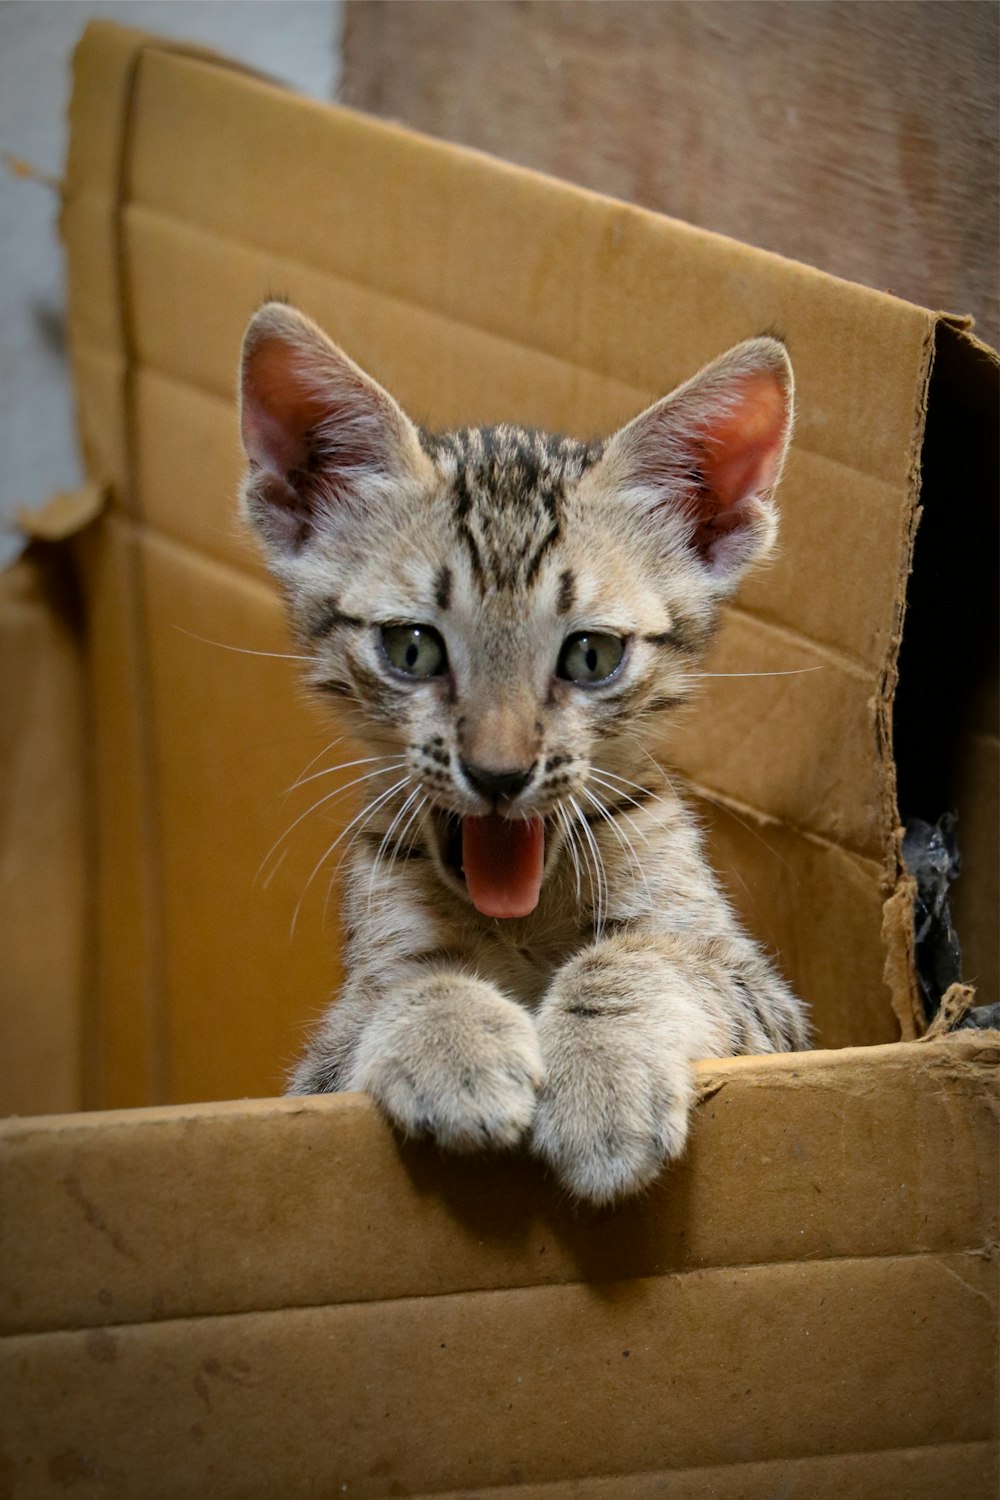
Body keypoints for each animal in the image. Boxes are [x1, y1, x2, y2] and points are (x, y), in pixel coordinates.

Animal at [238, 304, 809, 1206]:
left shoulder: (768, 1003)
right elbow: (397, 990)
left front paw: (603, 1073)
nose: (498, 773)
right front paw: (453, 1038)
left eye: (591, 656)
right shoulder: (323, 1059)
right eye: (411, 648)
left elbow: (646, 955)